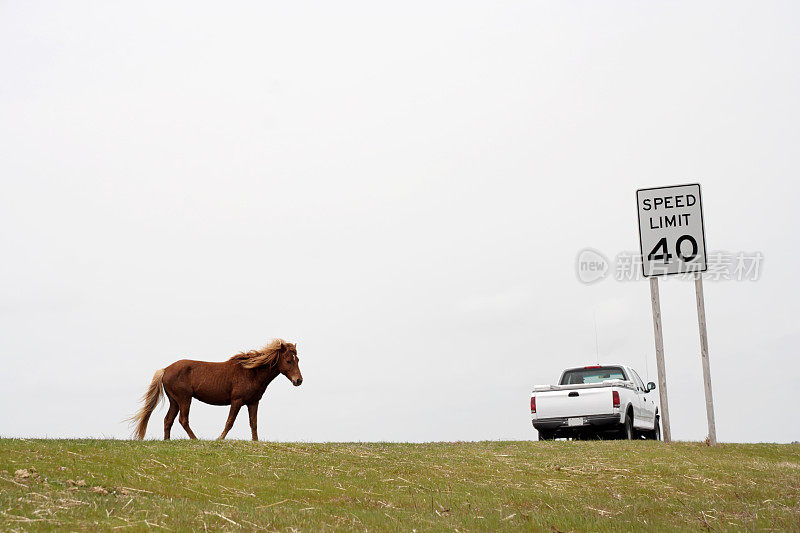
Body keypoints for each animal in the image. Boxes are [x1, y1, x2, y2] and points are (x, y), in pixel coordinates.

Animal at [128, 338, 304, 438]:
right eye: (288, 360)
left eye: (297, 359)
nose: (299, 380)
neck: (251, 372)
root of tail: (165, 369)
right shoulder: (237, 401)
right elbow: (229, 422)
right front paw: (220, 439)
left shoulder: (253, 403)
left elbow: (253, 424)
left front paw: (255, 442)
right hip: (184, 399)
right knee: (183, 420)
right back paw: (195, 440)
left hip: (175, 401)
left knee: (168, 420)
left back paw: (168, 441)